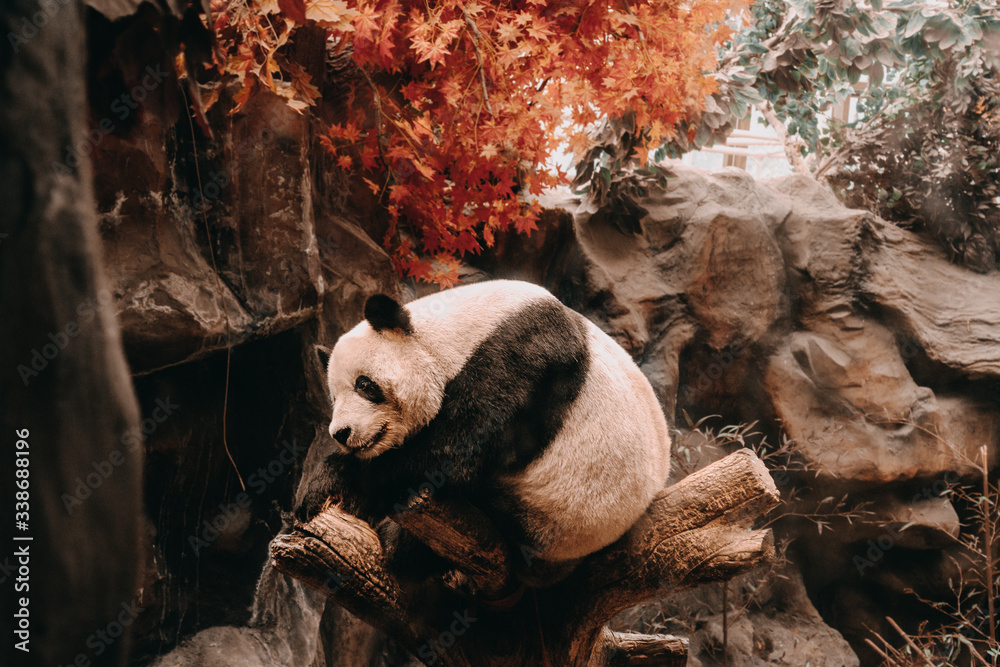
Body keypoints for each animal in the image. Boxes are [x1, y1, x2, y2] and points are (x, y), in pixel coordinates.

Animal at [297, 279, 671, 569]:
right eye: (333, 397)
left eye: (364, 384)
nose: (341, 433)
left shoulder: (520, 354)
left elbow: (451, 453)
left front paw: (336, 482)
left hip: (557, 513)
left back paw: (398, 545)